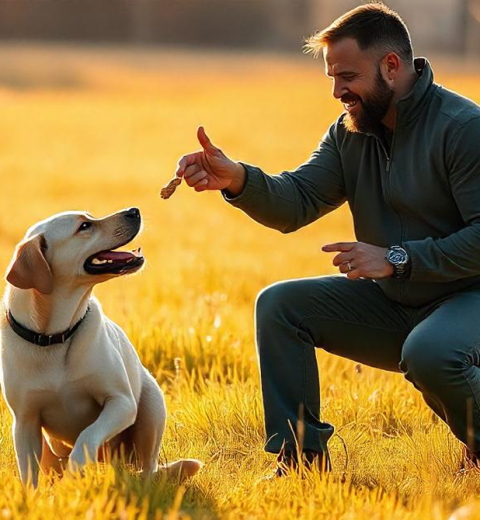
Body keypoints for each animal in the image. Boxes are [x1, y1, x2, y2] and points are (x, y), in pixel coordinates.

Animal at [0, 207, 201, 488]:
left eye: (89, 217)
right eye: (84, 226)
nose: (133, 210)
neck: (55, 336)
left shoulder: (121, 402)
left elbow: (88, 434)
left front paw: (77, 467)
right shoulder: (25, 421)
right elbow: (29, 473)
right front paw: (32, 497)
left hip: (151, 409)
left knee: (148, 467)